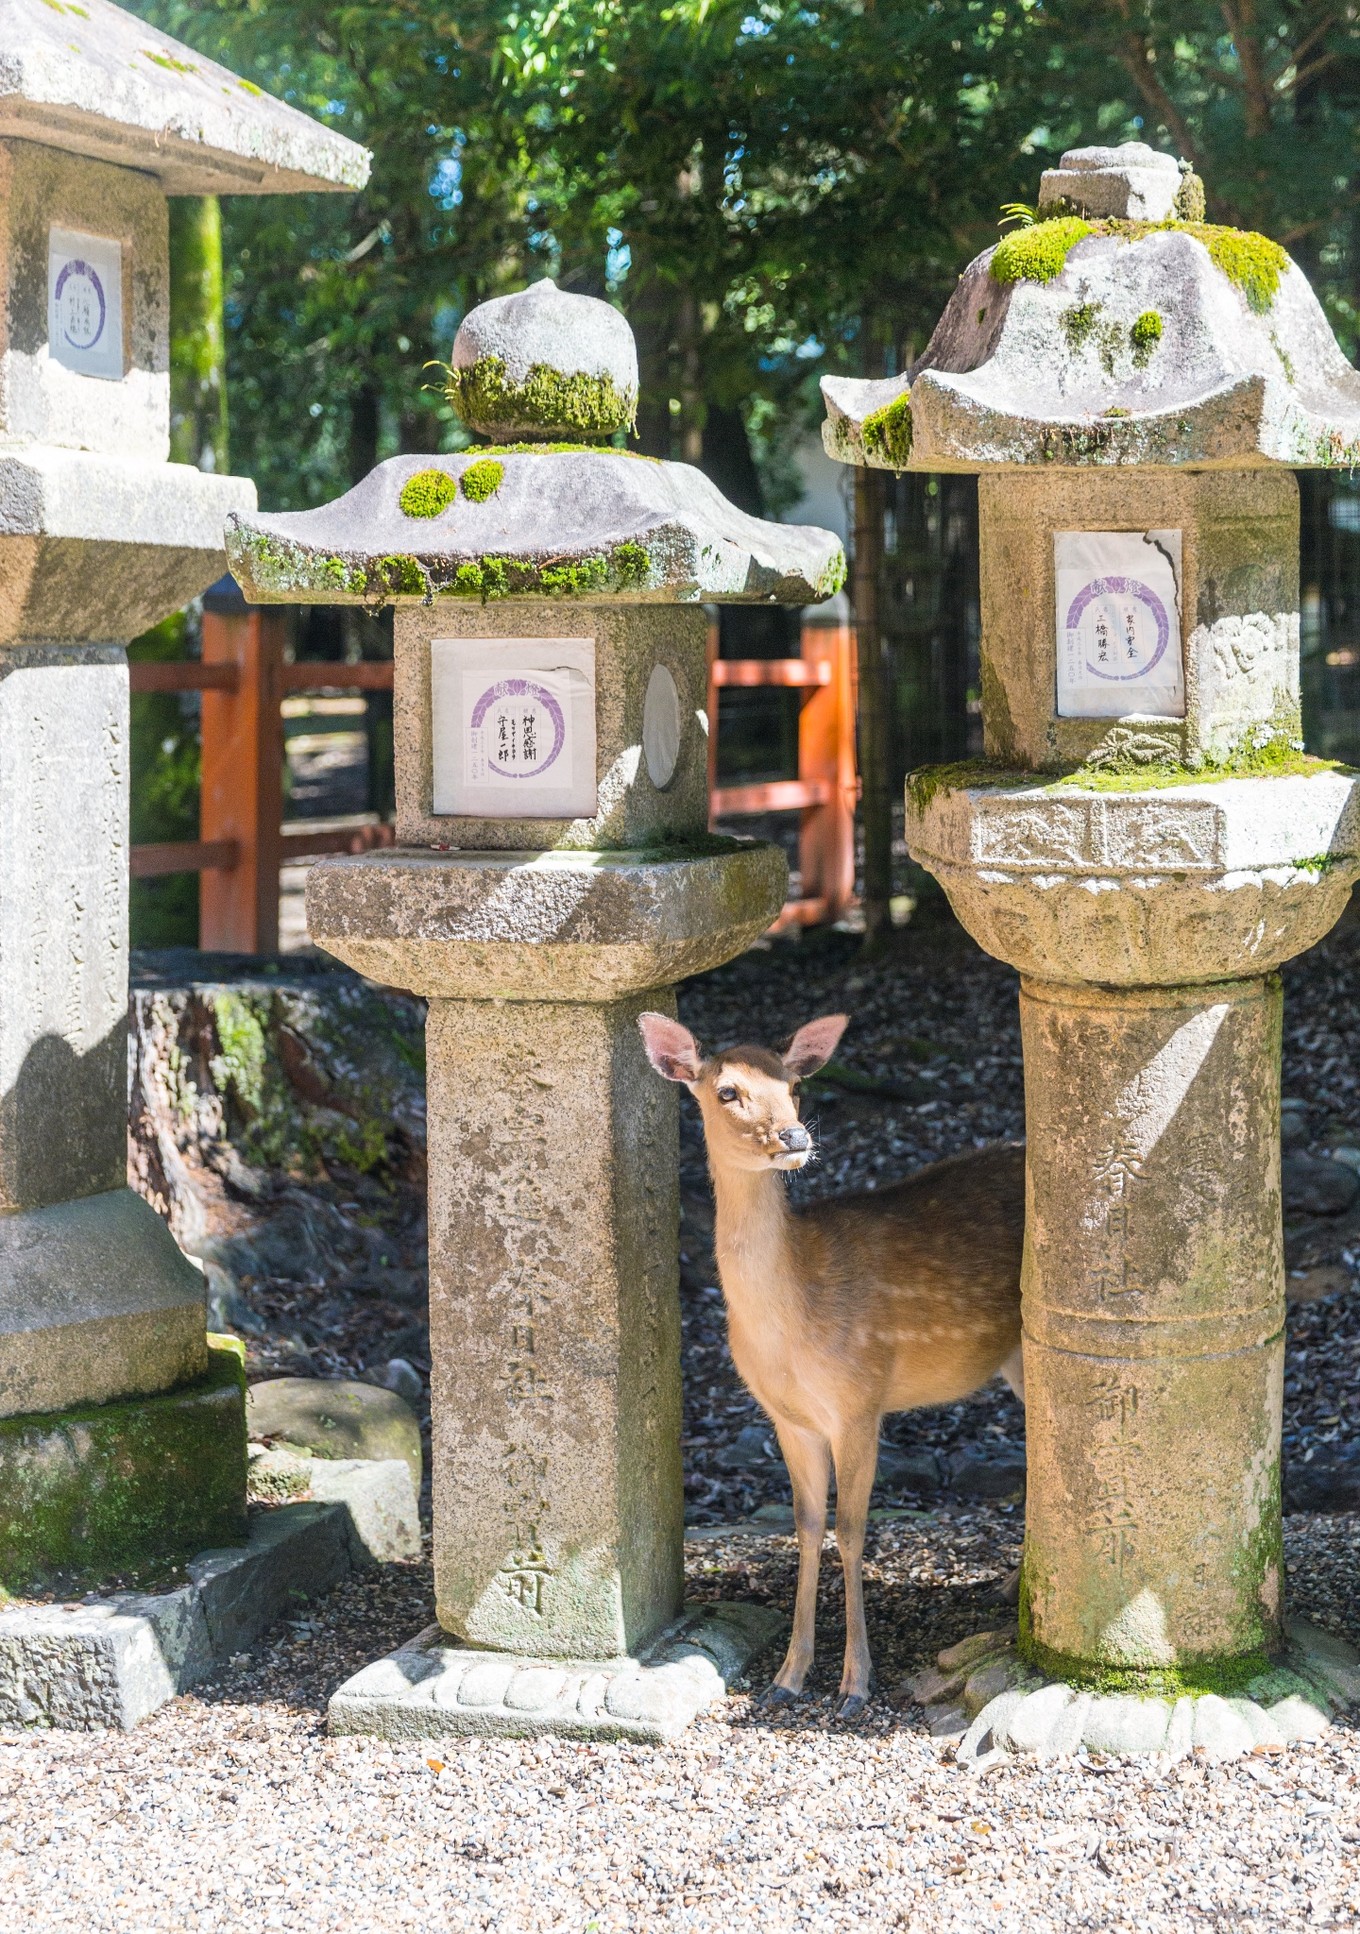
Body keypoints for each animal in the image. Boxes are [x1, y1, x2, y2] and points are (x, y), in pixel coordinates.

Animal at [638, 1013, 1021, 1725]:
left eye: (793, 1087)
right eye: (727, 1091)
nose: (794, 1137)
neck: (789, 1328)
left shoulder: (860, 1399)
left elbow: (852, 1530)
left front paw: (854, 1685)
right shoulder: (788, 1418)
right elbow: (807, 1527)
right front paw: (788, 1677)